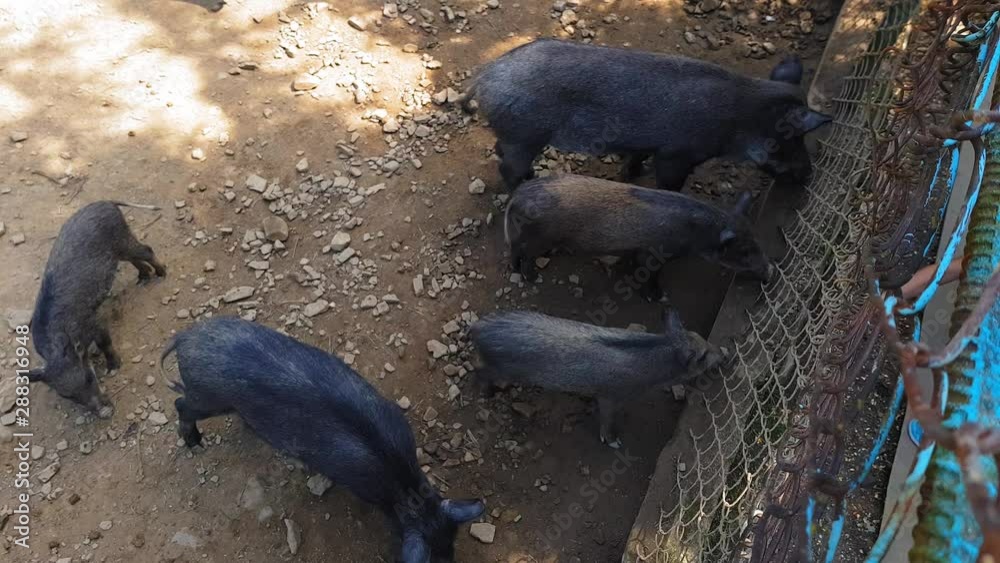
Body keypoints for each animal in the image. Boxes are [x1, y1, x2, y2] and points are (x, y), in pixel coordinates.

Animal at [28, 201, 166, 417]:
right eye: (66, 395)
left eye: (89, 378)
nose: (104, 413)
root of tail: (106, 202)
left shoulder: (95, 320)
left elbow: (105, 343)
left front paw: (113, 369)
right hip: (119, 249)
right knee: (134, 259)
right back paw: (143, 279)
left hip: (122, 239)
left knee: (146, 250)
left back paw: (161, 274)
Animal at [160, 317, 485, 563]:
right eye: (436, 558)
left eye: (452, 546)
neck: (399, 480)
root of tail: (184, 337)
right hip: (208, 397)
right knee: (180, 404)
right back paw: (195, 443)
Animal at [464, 39, 832, 190]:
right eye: (793, 138)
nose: (808, 174)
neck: (739, 119)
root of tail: (485, 75)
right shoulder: (676, 154)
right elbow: (671, 184)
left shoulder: (648, 144)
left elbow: (635, 159)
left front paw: (632, 174)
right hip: (524, 135)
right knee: (507, 168)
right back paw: (524, 185)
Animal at [471, 309, 724, 448]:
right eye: (702, 356)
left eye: (700, 337)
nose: (725, 353)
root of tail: (477, 328)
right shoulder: (609, 396)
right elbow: (607, 422)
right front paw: (614, 442)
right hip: (500, 368)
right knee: (479, 371)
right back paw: (488, 393)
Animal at [504, 174, 772, 298]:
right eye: (744, 251)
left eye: (757, 240)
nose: (769, 272)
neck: (696, 235)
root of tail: (518, 195)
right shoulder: (653, 253)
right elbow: (650, 274)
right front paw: (658, 297)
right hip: (538, 236)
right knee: (525, 254)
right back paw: (533, 278)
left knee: (515, 249)